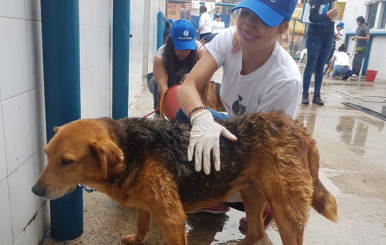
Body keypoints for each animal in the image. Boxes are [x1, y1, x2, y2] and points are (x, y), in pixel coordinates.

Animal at [31, 113, 336, 245]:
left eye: (67, 162)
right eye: (46, 154)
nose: (35, 191)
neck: (132, 149)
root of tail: (300, 129)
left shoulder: (172, 218)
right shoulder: (146, 204)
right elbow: (142, 224)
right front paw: (137, 238)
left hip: (286, 211)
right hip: (251, 194)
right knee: (257, 233)